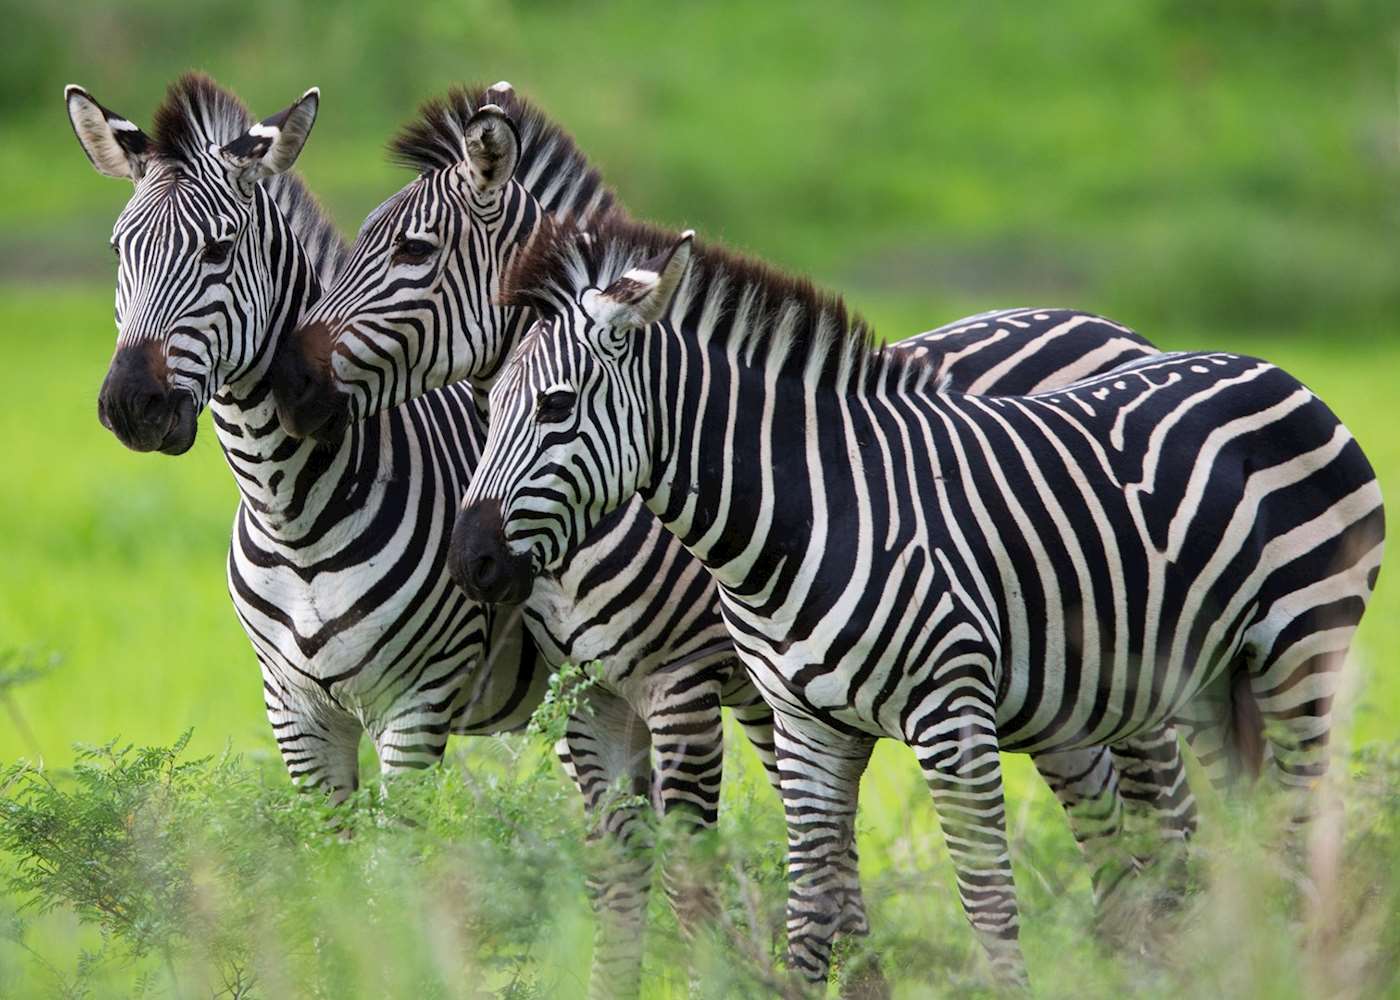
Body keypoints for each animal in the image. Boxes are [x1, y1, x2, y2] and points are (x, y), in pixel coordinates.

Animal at [267, 84, 1206, 940]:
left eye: (414, 250)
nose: (292, 381)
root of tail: (1110, 325)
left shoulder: (687, 680)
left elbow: (698, 886)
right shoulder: (621, 697)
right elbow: (647, 879)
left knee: (1172, 820)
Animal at [454, 214, 1385, 988]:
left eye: (556, 406)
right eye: (485, 404)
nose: (471, 561)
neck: (806, 516)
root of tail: (1271, 368)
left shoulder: (950, 716)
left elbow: (988, 904)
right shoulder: (806, 728)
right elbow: (812, 920)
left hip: (1300, 656)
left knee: (1295, 841)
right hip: (1208, 683)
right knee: (1240, 843)